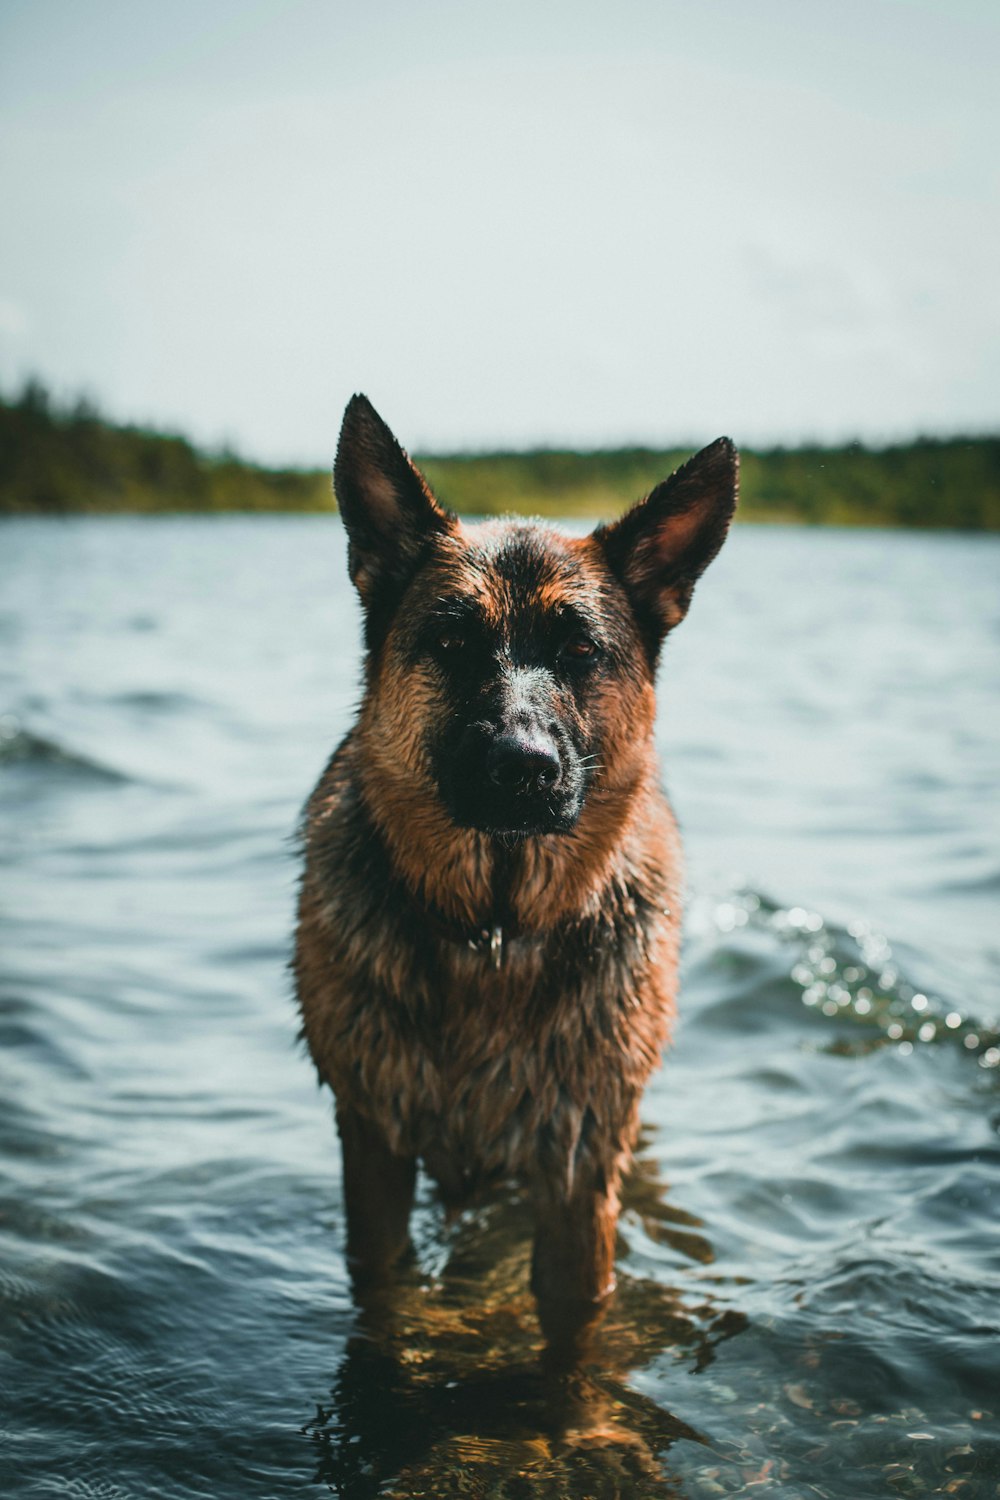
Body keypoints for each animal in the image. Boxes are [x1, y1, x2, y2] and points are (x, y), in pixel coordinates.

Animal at [293, 396, 740, 1350]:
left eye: (580, 653)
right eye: (455, 641)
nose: (522, 767)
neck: (493, 933)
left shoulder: (578, 1168)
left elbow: (574, 1317)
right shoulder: (374, 1145)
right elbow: (385, 1288)